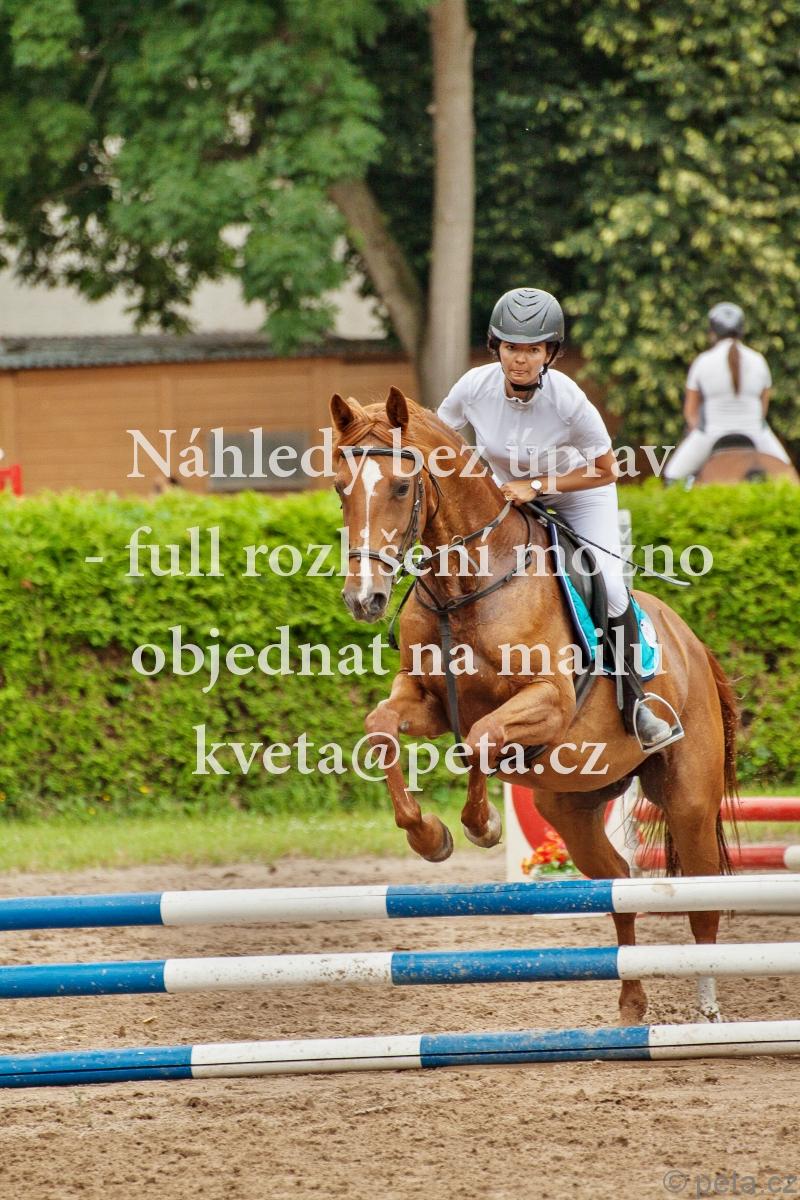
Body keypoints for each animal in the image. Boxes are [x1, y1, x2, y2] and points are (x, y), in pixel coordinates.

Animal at [330, 386, 739, 1023]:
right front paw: (427, 835)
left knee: (702, 903)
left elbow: (478, 743)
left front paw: (481, 825)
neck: (465, 585)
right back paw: (631, 1003)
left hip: (689, 801)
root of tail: (693, 644)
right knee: (618, 882)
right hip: (571, 805)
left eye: (400, 487)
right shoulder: (426, 700)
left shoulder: (546, 702)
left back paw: (707, 1014)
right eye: (339, 487)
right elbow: (381, 728)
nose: (364, 599)